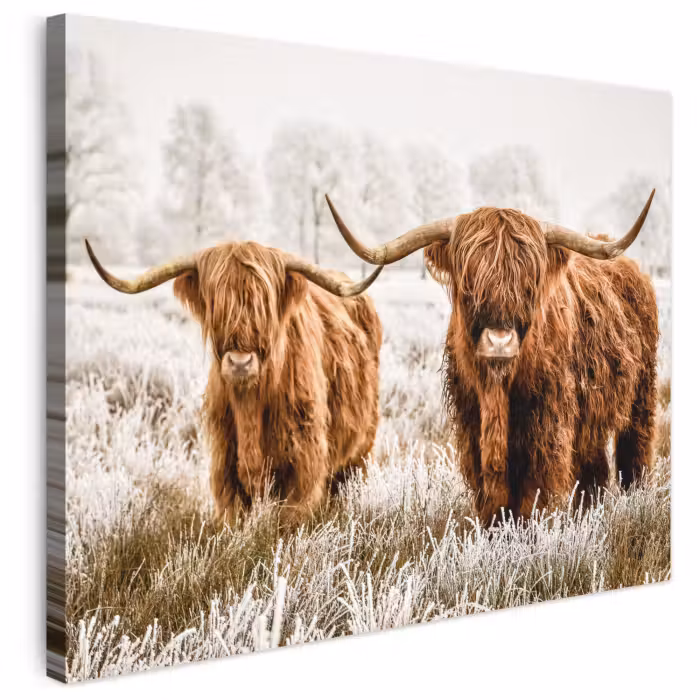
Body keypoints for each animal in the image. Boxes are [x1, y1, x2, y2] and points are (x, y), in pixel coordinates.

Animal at [85, 239, 384, 525]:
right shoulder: (224, 466)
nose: (240, 363)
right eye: (216, 304)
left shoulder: (304, 464)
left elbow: (289, 521)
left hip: (361, 451)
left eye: (264, 305)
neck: (250, 404)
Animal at [325, 191, 658, 523]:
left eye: (529, 284)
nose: (500, 341)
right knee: (595, 466)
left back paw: (635, 499)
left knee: (635, 450)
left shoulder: (547, 425)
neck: (497, 389)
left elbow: (535, 491)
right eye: (469, 282)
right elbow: (491, 493)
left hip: (642, 394)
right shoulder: (472, 424)